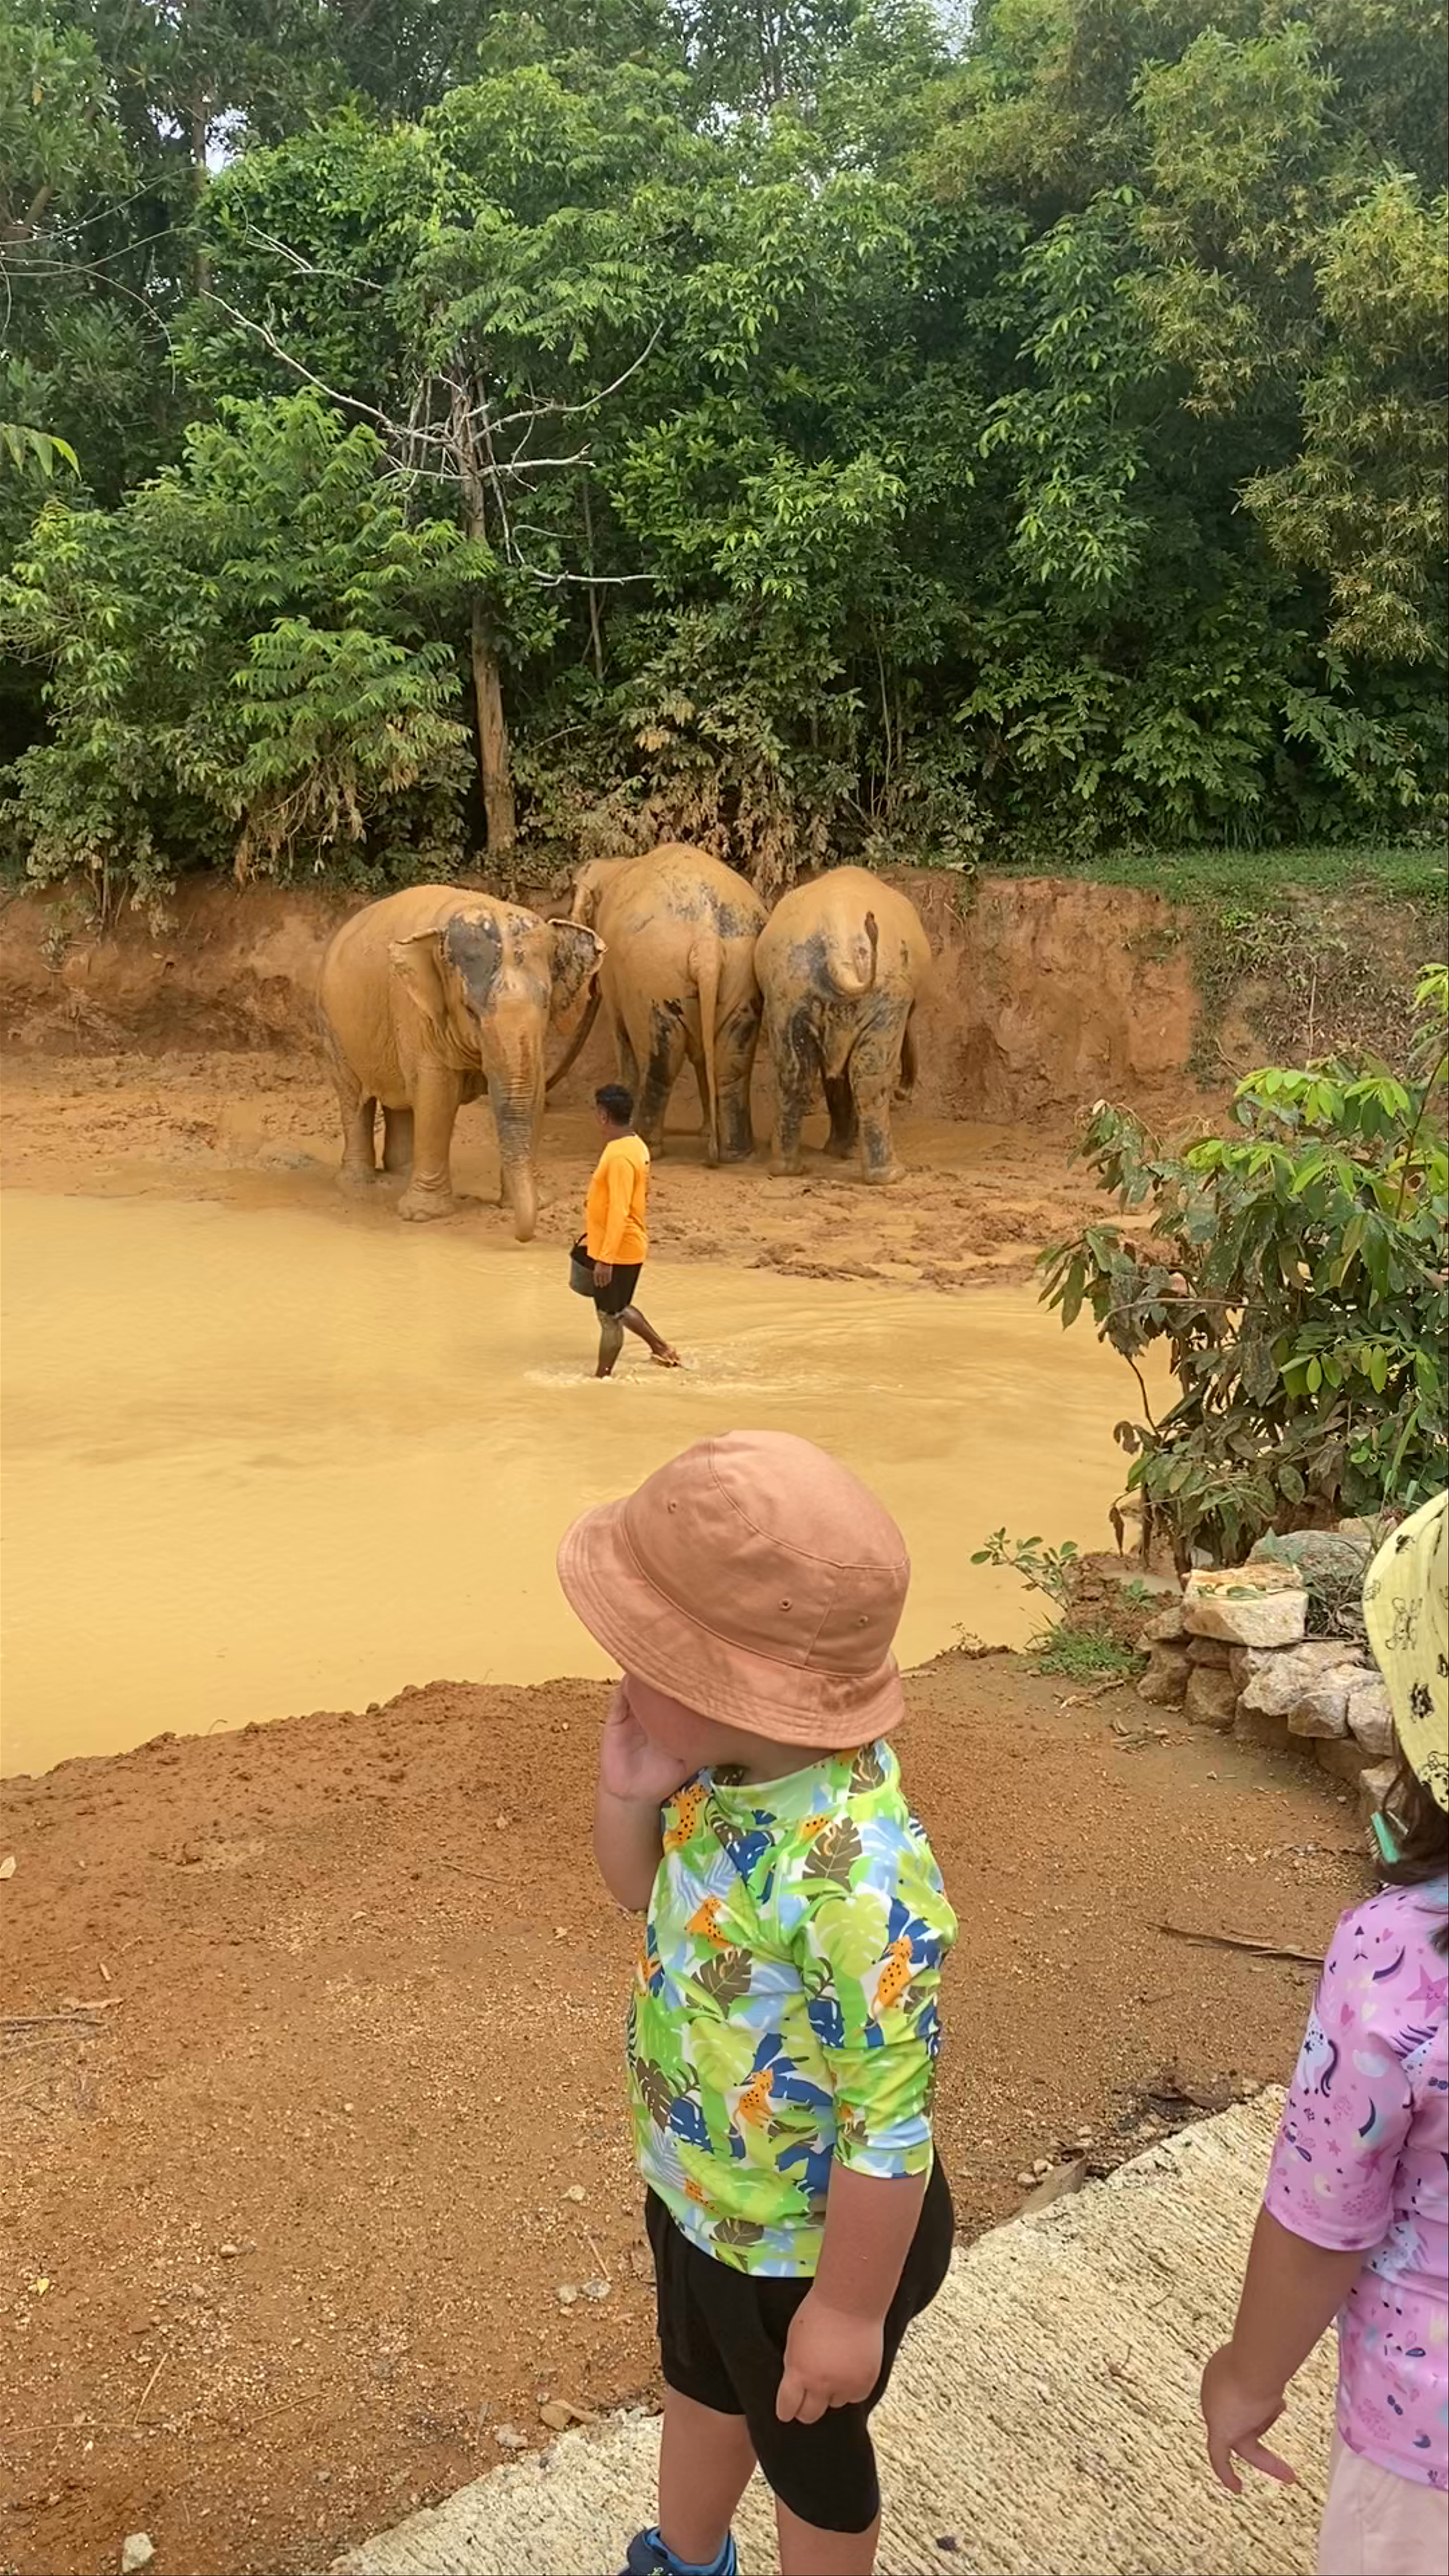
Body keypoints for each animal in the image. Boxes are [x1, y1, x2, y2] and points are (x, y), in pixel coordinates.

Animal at [317, 885, 604, 1236]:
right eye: (470, 1010)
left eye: (547, 1003)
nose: (522, 1236)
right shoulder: (418, 1013)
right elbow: (436, 1094)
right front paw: (422, 1215)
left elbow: (532, 1091)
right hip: (333, 1026)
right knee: (354, 1098)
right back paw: (358, 1186)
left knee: (402, 1100)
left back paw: (400, 1175)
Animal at [568, 843, 767, 1162]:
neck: (614, 866)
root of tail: (707, 943)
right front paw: (705, 1133)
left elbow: (620, 1033)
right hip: (742, 973)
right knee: (732, 1063)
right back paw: (737, 1153)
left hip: (653, 976)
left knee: (660, 1059)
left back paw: (647, 1142)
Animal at [755, 868, 930, 1184]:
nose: (905, 1093)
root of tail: (837, 941)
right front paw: (844, 1153)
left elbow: (833, 1074)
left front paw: (838, 1153)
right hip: (886, 992)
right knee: (871, 1076)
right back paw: (893, 1175)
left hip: (788, 988)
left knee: (794, 1071)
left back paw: (787, 1170)